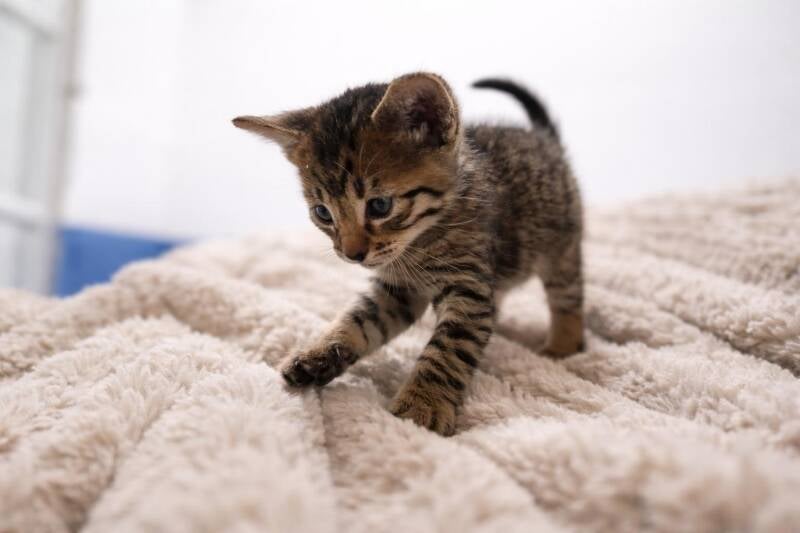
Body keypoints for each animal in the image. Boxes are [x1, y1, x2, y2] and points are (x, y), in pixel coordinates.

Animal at [233, 72, 583, 436]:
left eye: (379, 206)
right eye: (323, 213)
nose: (351, 254)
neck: (417, 245)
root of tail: (543, 138)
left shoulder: (467, 287)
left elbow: (450, 346)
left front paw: (423, 405)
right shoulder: (398, 291)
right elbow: (358, 319)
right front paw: (317, 355)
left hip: (562, 246)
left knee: (567, 295)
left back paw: (563, 344)